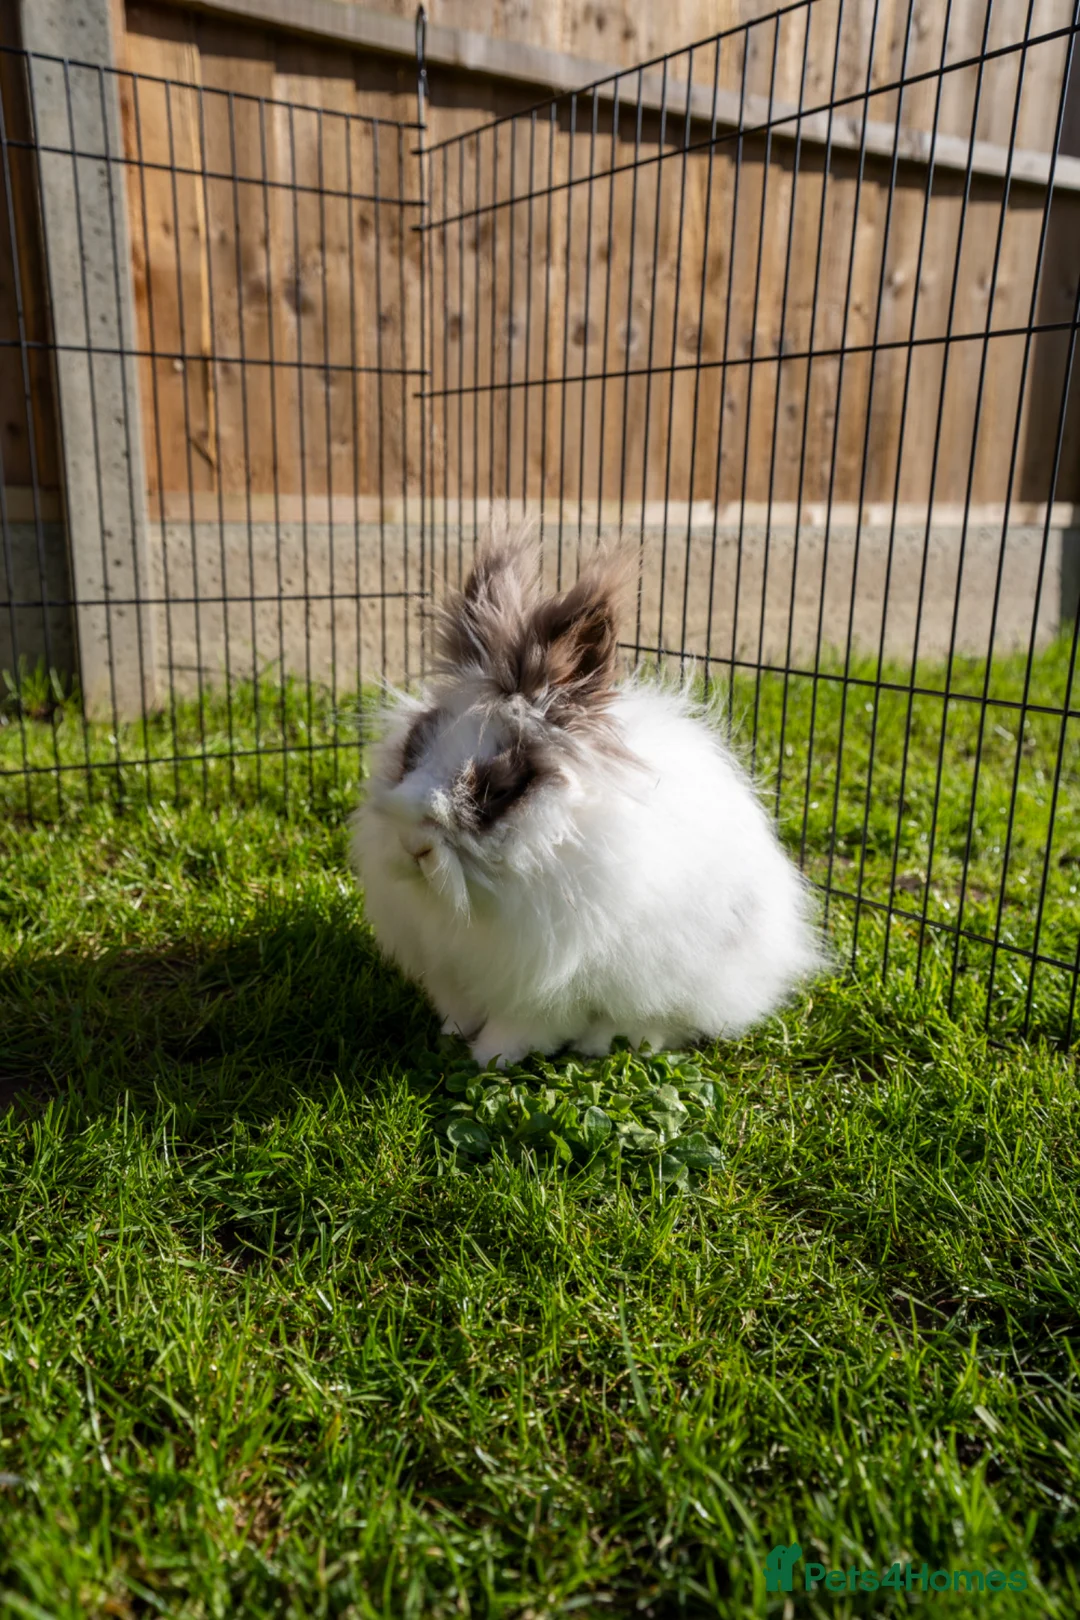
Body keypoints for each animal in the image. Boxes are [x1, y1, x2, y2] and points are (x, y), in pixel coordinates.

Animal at [351, 528, 822, 1069]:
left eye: (501, 788)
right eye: (414, 749)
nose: (415, 847)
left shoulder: (545, 987)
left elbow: (521, 1027)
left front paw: (488, 1059)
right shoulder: (451, 969)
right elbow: (459, 1010)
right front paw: (450, 1036)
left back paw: (611, 1043)